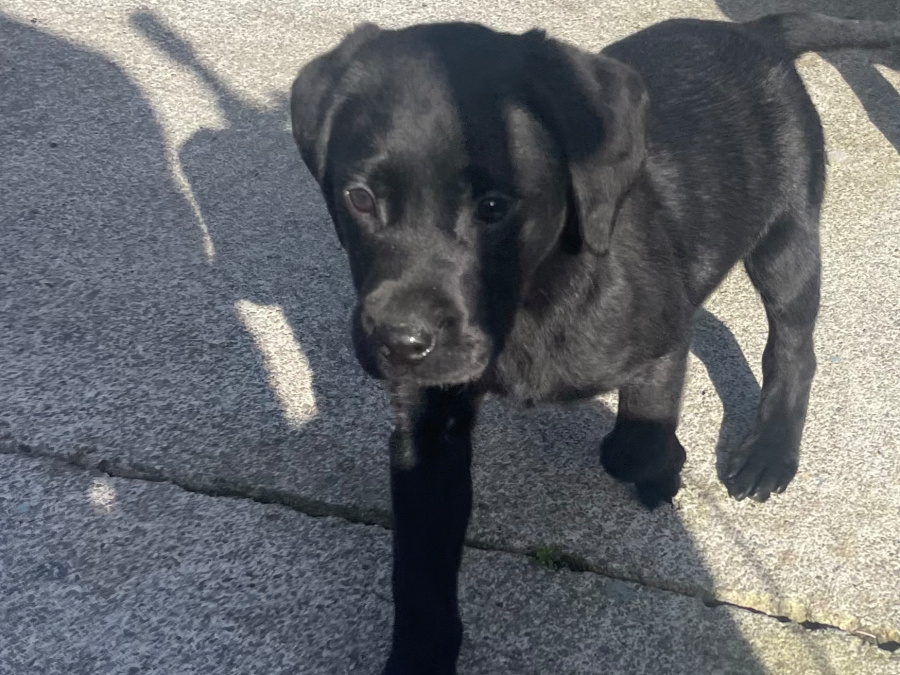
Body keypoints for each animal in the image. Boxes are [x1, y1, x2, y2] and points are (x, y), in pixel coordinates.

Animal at [292, 11, 896, 675]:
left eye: (494, 207)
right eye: (359, 198)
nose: (400, 343)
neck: (532, 301)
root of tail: (758, 32)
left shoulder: (661, 342)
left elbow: (634, 443)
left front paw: (663, 468)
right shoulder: (428, 429)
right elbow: (419, 572)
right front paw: (419, 654)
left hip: (786, 237)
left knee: (793, 346)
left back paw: (770, 450)